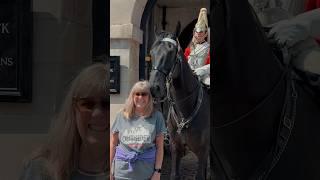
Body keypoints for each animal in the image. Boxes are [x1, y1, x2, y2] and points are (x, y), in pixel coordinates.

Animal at [149, 27, 211, 179]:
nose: (154, 88)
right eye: (152, 52)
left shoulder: (203, 151)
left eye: (171, 52)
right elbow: (174, 175)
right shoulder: (176, 148)